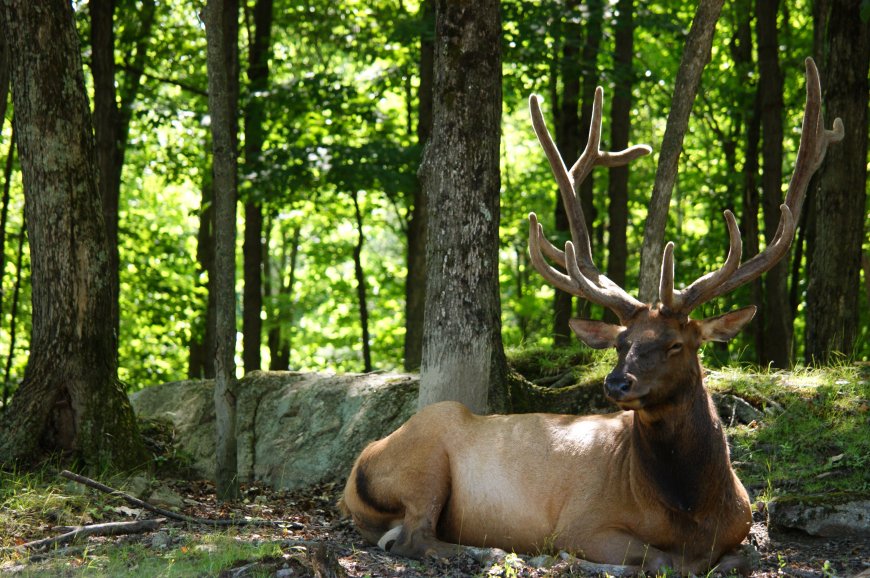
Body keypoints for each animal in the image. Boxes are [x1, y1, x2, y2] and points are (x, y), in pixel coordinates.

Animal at [340, 58, 843, 575]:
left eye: (676, 344)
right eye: (621, 343)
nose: (617, 383)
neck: (695, 511)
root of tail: (354, 473)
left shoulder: (742, 527)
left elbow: (739, 557)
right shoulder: (584, 523)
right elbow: (662, 560)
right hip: (425, 457)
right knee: (413, 538)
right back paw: (494, 551)